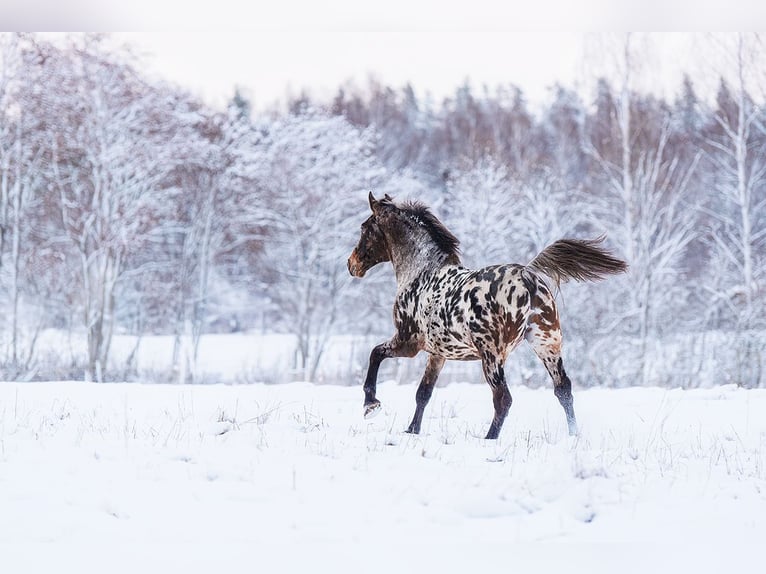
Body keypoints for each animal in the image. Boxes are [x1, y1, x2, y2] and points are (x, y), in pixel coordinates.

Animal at [352, 194, 628, 440]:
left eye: (365, 228)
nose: (351, 264)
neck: (421, 272)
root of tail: (527, 276)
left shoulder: (408, 343)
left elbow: (375, 353)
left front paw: (370, 405)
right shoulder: (438, 354)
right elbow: (423, 393)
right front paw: (411, 431)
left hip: (492, 356)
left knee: (503, 398)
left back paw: (489, 439)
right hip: (546, 344)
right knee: (563, 390)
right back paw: (573, 435)